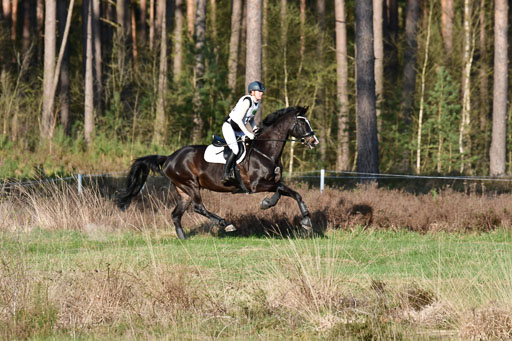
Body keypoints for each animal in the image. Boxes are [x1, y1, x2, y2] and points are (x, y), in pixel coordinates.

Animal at [115, 106, 320, 239]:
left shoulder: (270, 182)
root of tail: (170, 157)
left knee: (176, 214)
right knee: (198, 208)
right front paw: (301, 218)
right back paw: (225, 224)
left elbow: (287, 191)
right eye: (302, 123)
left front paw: (301, 219)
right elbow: (284, 190)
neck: (265, 150)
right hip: (191, 185)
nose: (314, 141)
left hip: (183, 190)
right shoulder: (256, 185)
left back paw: (183, 238)